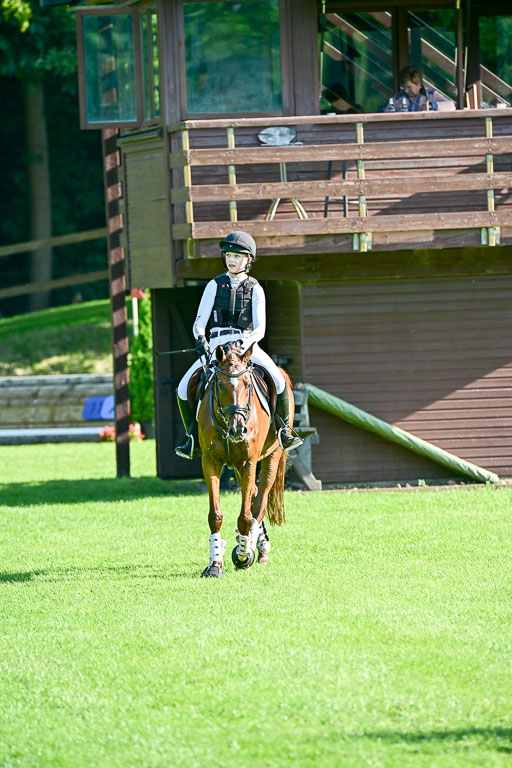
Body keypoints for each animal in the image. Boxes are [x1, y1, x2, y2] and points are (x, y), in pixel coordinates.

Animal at [197, 341, 291, 578]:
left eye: (248, 384)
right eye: (220, 385)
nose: (238, 429)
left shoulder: (249, 461)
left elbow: (246, 516)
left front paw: (243, 554)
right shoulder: (210, 462)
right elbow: (215, 515)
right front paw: (215, 563)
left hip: (272, 456)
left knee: (260, 500)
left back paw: (255, 548)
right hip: (238, 468)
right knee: (255, 495)